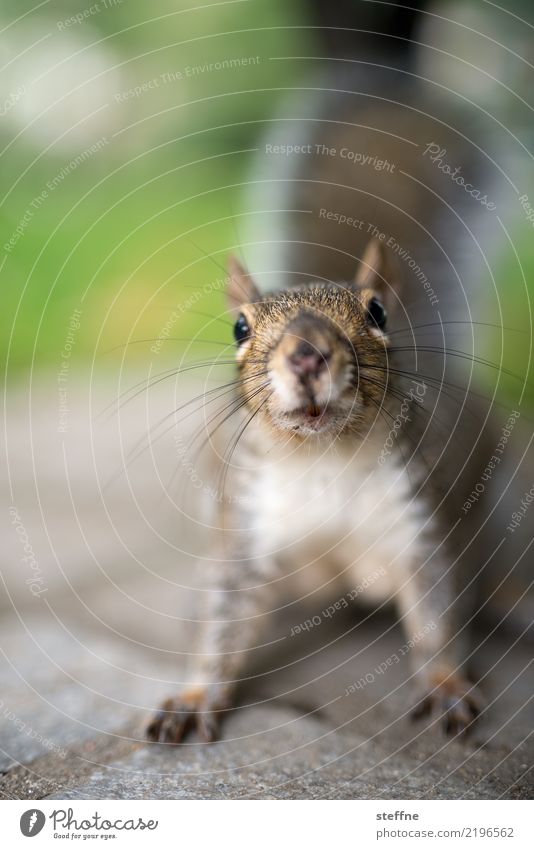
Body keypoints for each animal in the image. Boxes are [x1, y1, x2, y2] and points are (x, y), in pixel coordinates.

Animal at [148, 0, 534, 744]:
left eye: (377, 311)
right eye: (239, 327)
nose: (307, 355)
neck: (319, 458)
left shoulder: (419, 523)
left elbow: (439, 614)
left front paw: (447, 687)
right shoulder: (245, 533)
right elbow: (222, 624)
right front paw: (193, 693)